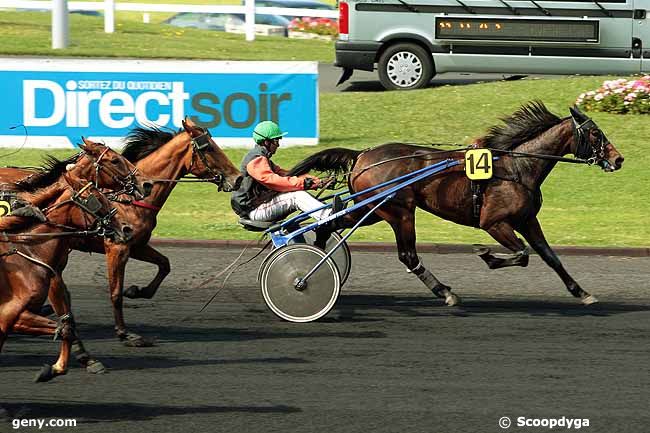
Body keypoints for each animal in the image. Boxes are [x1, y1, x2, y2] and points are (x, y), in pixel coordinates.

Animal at [0, 146, 142, 382]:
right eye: (115, 160)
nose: (143, 184)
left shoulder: (55, 270)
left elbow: (67, 317)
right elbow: (64, 319)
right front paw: (82, 359)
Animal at [288, 102, 624, 304]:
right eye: (595, 133)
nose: (618, 159)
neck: (517, 167)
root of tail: (362, 155)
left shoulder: (527, 220)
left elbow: (549, 256)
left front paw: (582, 292)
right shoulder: (494, 222)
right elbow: (522, 254)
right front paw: (486, 255)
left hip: (372, 209)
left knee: (329, 223)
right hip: (398, 211)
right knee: (408, 255)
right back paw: (445, 292)